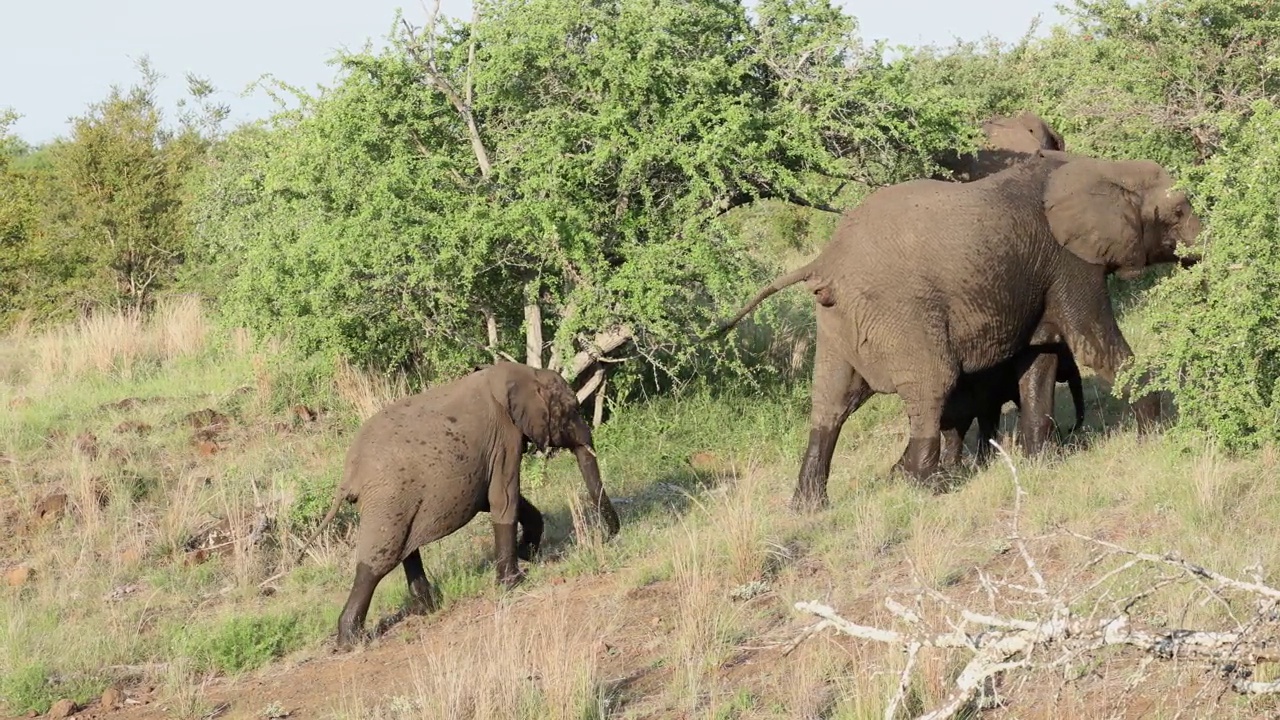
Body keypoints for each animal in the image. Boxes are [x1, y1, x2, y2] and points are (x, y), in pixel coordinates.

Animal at [302, 358, 616, 645]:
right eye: (573, 409)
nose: (609, 536)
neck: (523, 373)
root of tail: (349, 475)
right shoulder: (504, 437)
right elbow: (504, 498)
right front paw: (514, 582)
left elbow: (494, 500)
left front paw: (526, 553)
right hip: (387, 496)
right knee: (379, 560)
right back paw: (352, 640)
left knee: (404, 548)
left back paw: (426, 609)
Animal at [711, 150, 1198, 507]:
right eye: (1178, 211)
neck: (1105, 168)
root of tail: (824, 261)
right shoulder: (1071, 262)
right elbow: (1095, 346)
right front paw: (1157, 434)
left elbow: (1039, 359)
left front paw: (1040, 462)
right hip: (900, 312)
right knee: (933, 383)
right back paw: (925, 486)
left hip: (836, 322)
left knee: (830, 401)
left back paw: (809, 507)